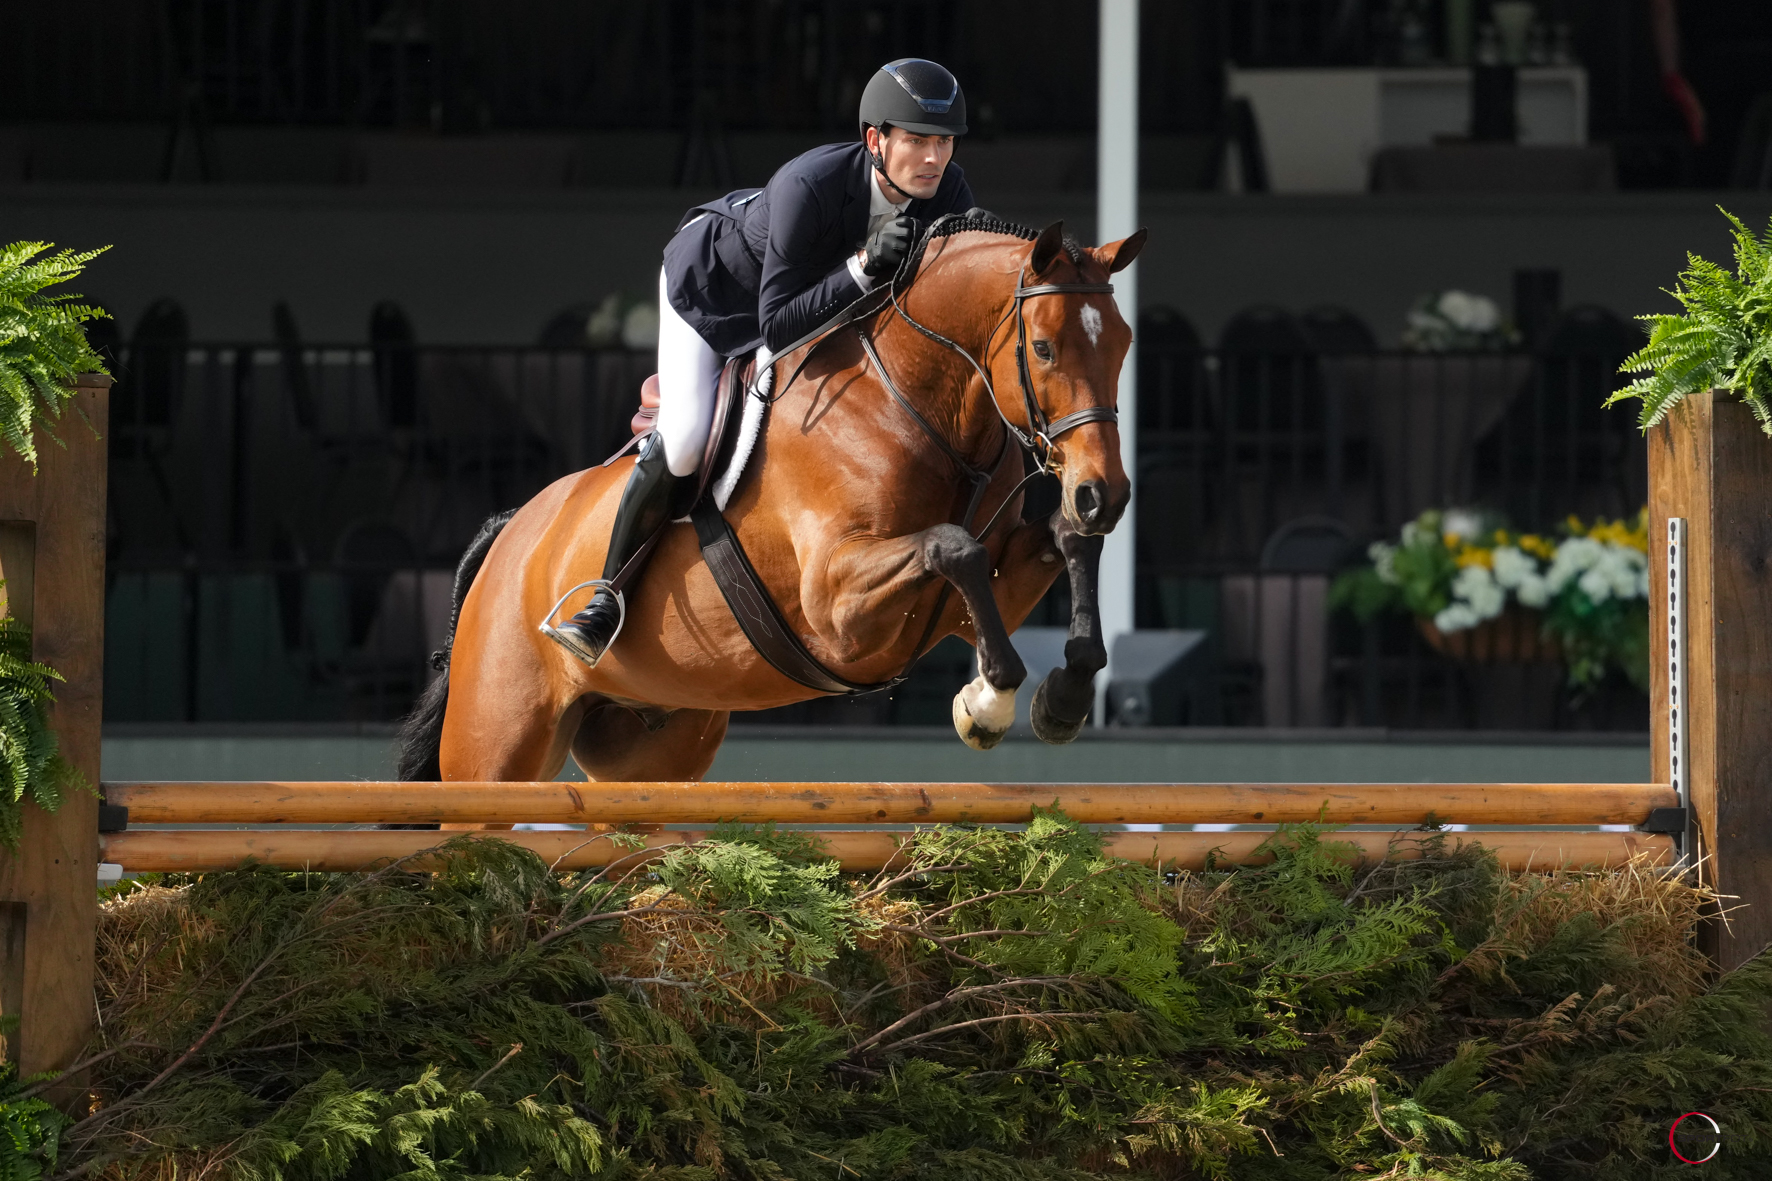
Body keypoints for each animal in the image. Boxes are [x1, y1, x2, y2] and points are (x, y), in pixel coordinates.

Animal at [396, 214, 1143, 792]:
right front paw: (986, 702)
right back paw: (590, 618)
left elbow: (1068, 543)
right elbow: (951, 545)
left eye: (1125, 344)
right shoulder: (836, 607)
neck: (914, 402)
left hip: (651, 751)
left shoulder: (989, 592)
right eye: (1043, 347)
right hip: (494, 747)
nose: (1102, 494)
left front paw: (1065, 697)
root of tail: (509, 535)